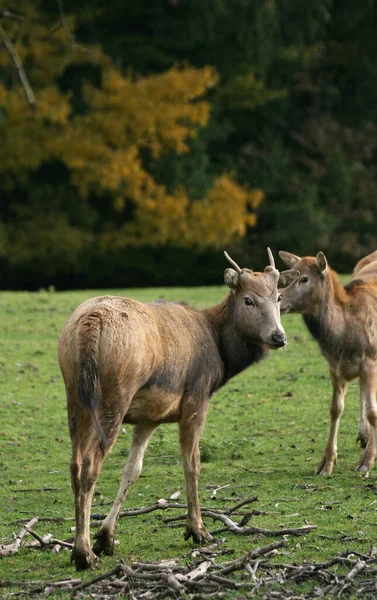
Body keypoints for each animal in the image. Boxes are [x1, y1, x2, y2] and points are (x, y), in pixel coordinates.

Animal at [58, 248, 296, 572]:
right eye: (248, 299)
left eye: (279, 297)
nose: (278, 337)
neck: (221, 355)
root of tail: (89, 327)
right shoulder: (197, 398)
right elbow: (192, 463)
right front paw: (198, 530)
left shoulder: (149, 417)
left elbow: (133, 470)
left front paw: (106, 537)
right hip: (115, 395)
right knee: (91, 463)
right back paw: (83, 553)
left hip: (75, 395)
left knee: (74, 463)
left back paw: (79, 547)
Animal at [276, 248, 377, 478]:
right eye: (286, 275)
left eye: (304, 278)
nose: (278, 299)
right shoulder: (334, 366)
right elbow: (335, 408)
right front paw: (326, 463)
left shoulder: (370, 360)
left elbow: (372, 412)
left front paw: (367, 462)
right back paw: (363, 435)